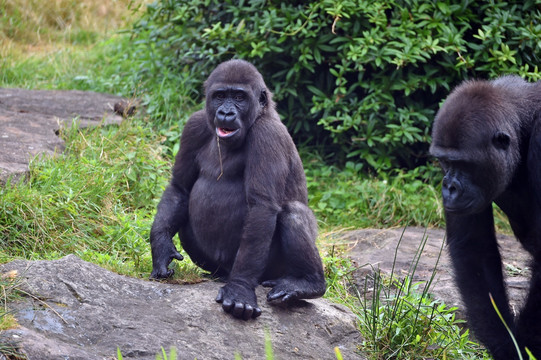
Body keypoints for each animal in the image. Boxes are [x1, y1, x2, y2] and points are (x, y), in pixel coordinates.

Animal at [148, 59, 324, 320]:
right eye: (220, 96)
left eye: (239, 97)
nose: (226, 113)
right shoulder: (195, 124)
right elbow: (180, 188)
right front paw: (160, 247)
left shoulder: (267, 134)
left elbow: (261, 206)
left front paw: (240, 289)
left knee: (293, 213)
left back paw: (308, 283)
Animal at [430, 74, 540, 358]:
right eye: (445, 162)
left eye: (464, 164)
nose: (449, 187)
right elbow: (475, 249)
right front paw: (507, 345)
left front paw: (527, 346)